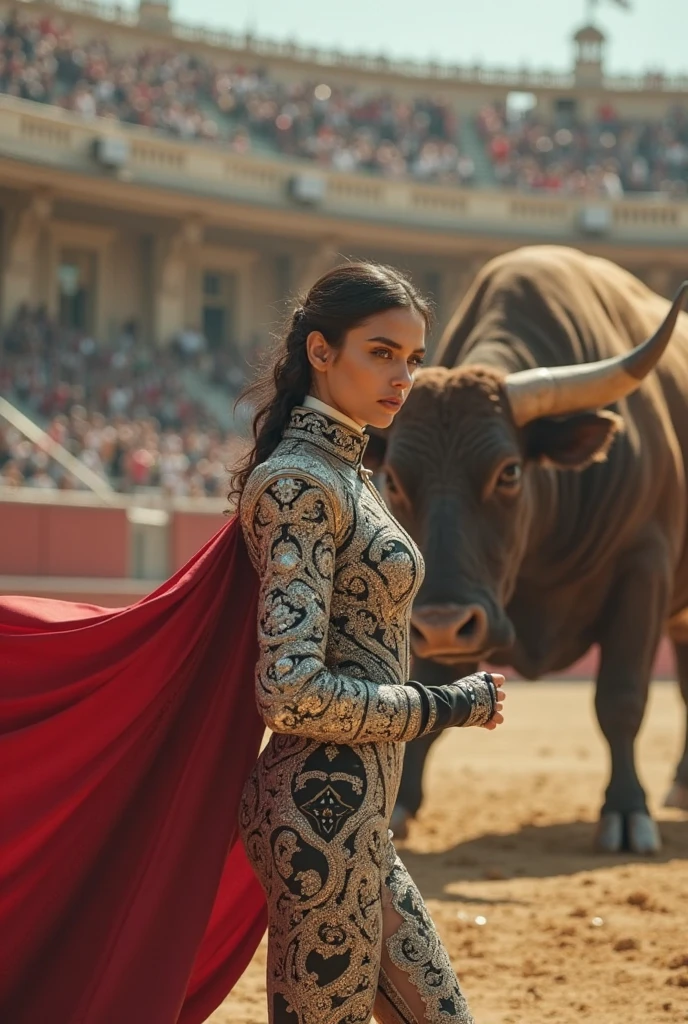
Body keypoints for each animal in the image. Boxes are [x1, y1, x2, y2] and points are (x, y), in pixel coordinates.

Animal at [365, 246, 688, 855]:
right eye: (393, 477)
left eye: (509, 471)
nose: (444, 623)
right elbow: (428, 685)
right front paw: (400, 805)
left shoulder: (645, 569)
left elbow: (621, 698)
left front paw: (626, 810)